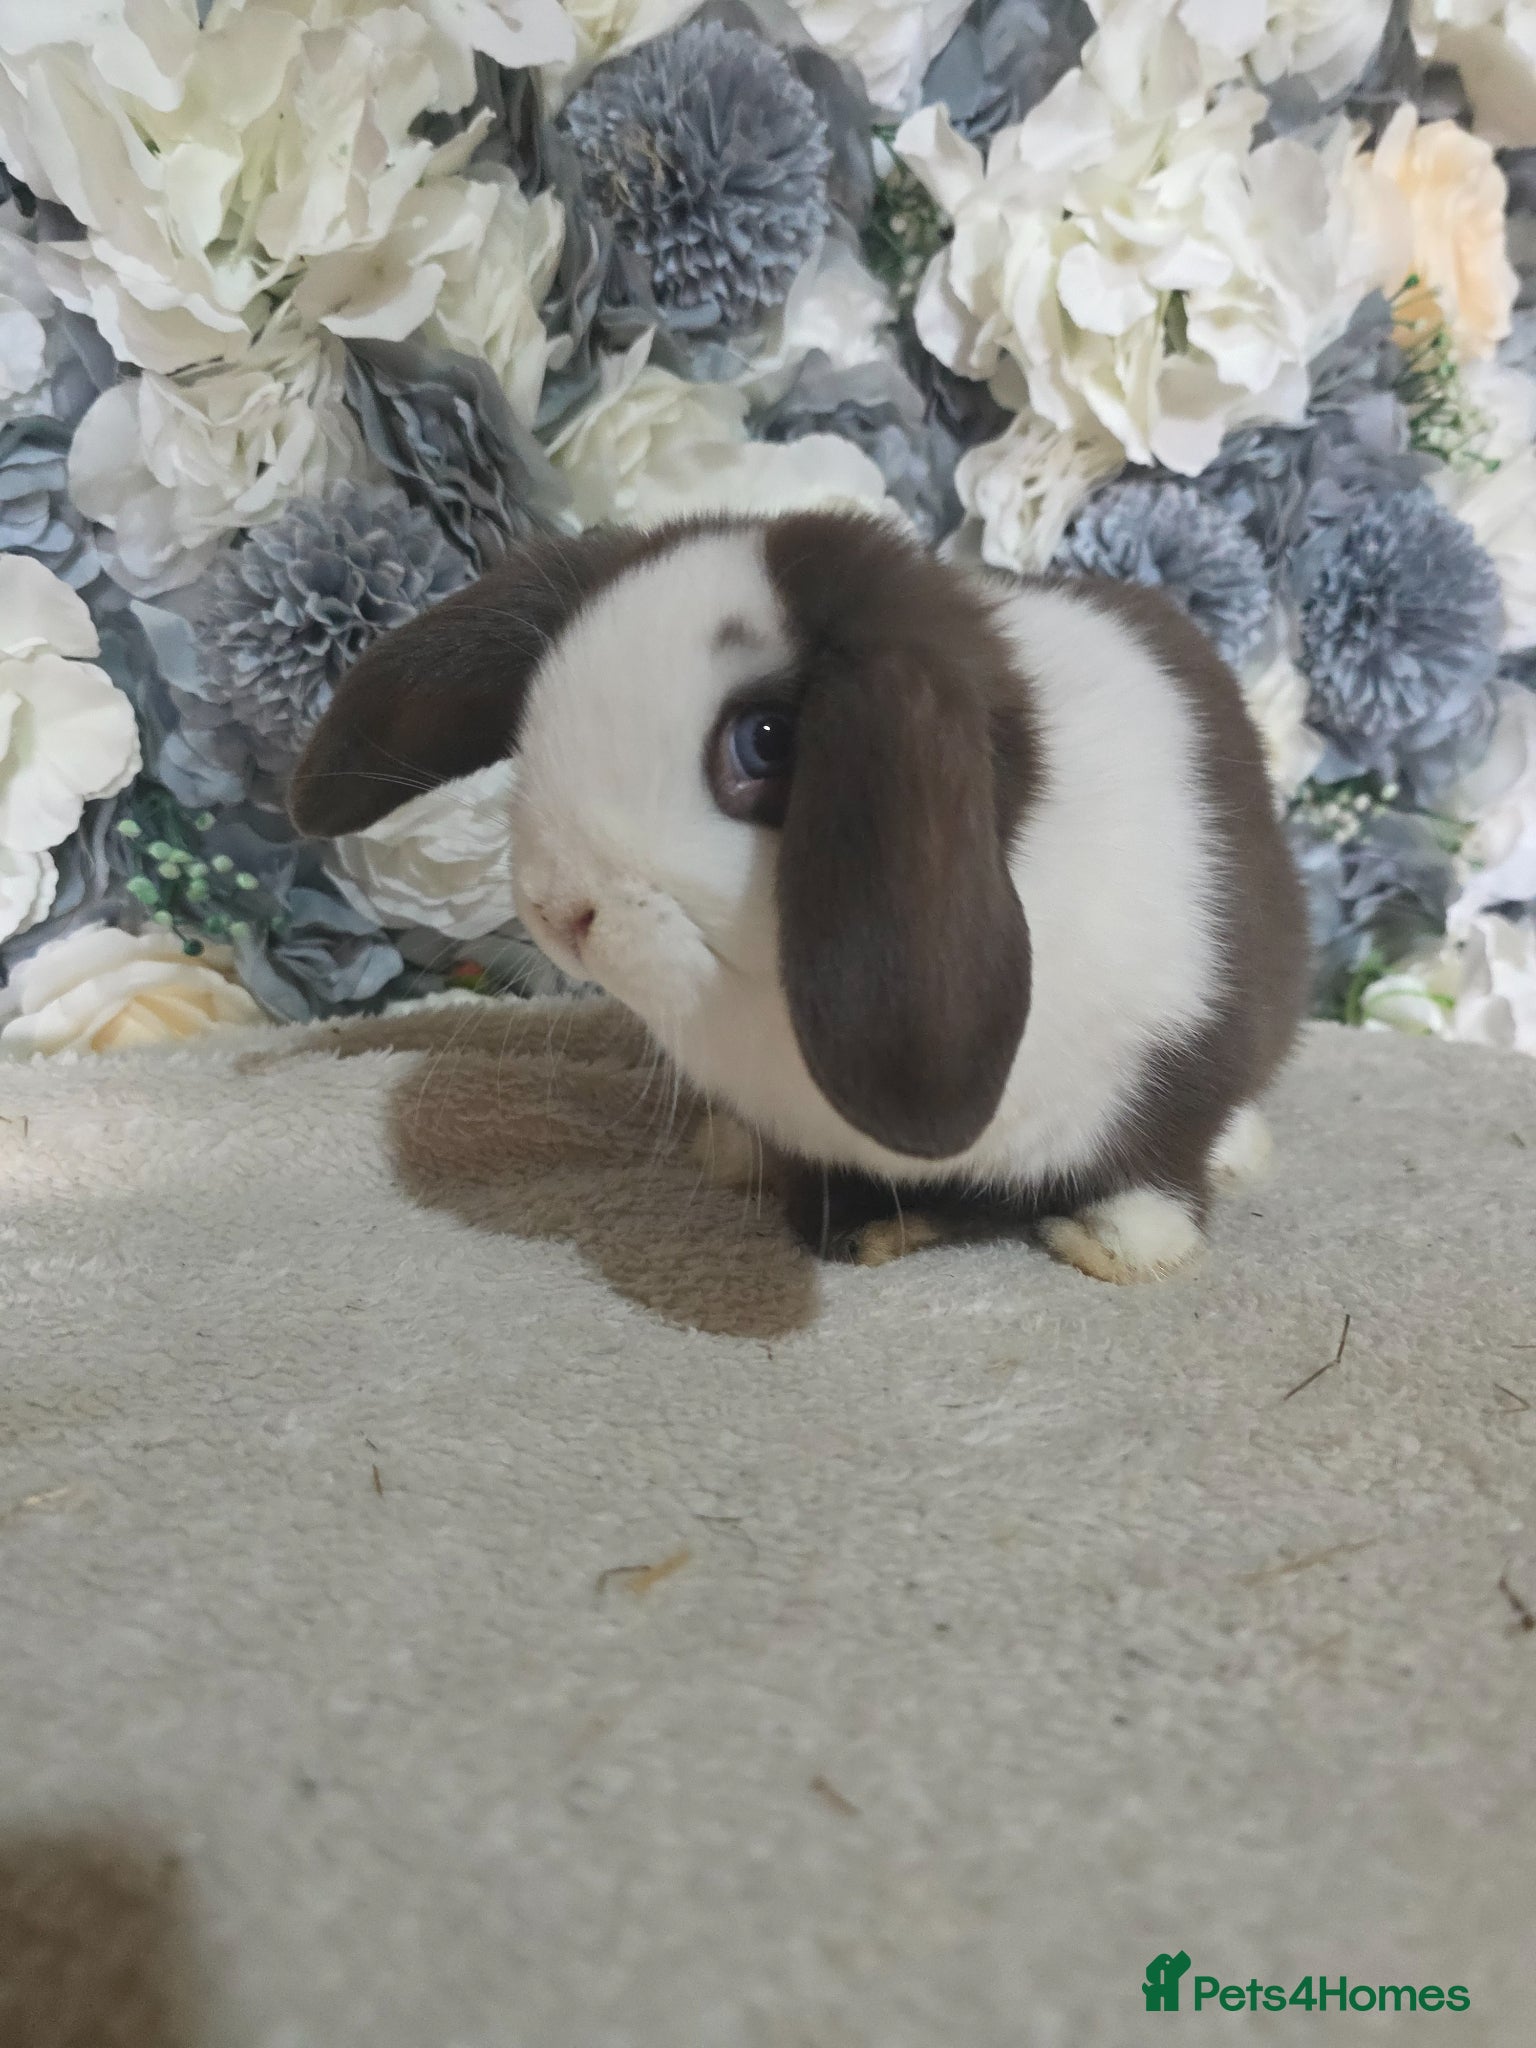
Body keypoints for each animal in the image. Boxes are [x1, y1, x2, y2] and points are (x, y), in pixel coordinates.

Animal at [290, 510, 1310, 1282]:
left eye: (768, 741)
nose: (559, 909)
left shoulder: (1172, 1058)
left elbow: (1153, 1168)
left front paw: (1116, 1247)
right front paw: (827, 1209)